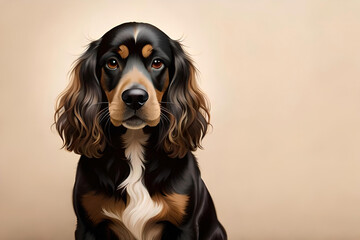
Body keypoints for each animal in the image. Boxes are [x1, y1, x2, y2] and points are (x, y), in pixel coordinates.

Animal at [54, 21, 226, 239]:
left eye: (157, 63)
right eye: (112, 63)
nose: (135, 97)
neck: (134, 143)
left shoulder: (184, 225)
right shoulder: (88, 224)